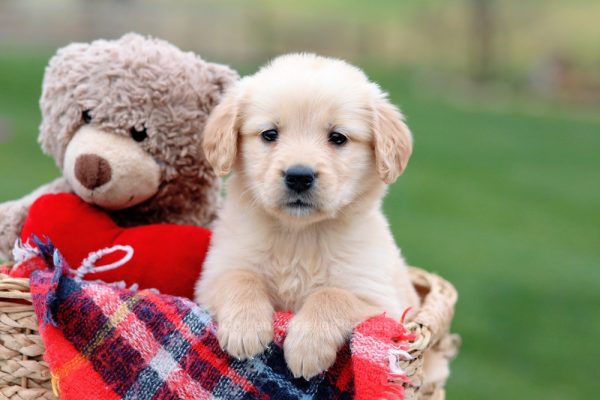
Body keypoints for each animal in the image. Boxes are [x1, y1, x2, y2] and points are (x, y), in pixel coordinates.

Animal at [195, 53, 420, 378]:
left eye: (337, 137)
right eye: (270, 134)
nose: (299, 176)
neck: (299, 237)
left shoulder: (381, 303)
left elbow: (333, 295)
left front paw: (307, 346)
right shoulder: (215, 274)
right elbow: (240, 278)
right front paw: (244, 329)